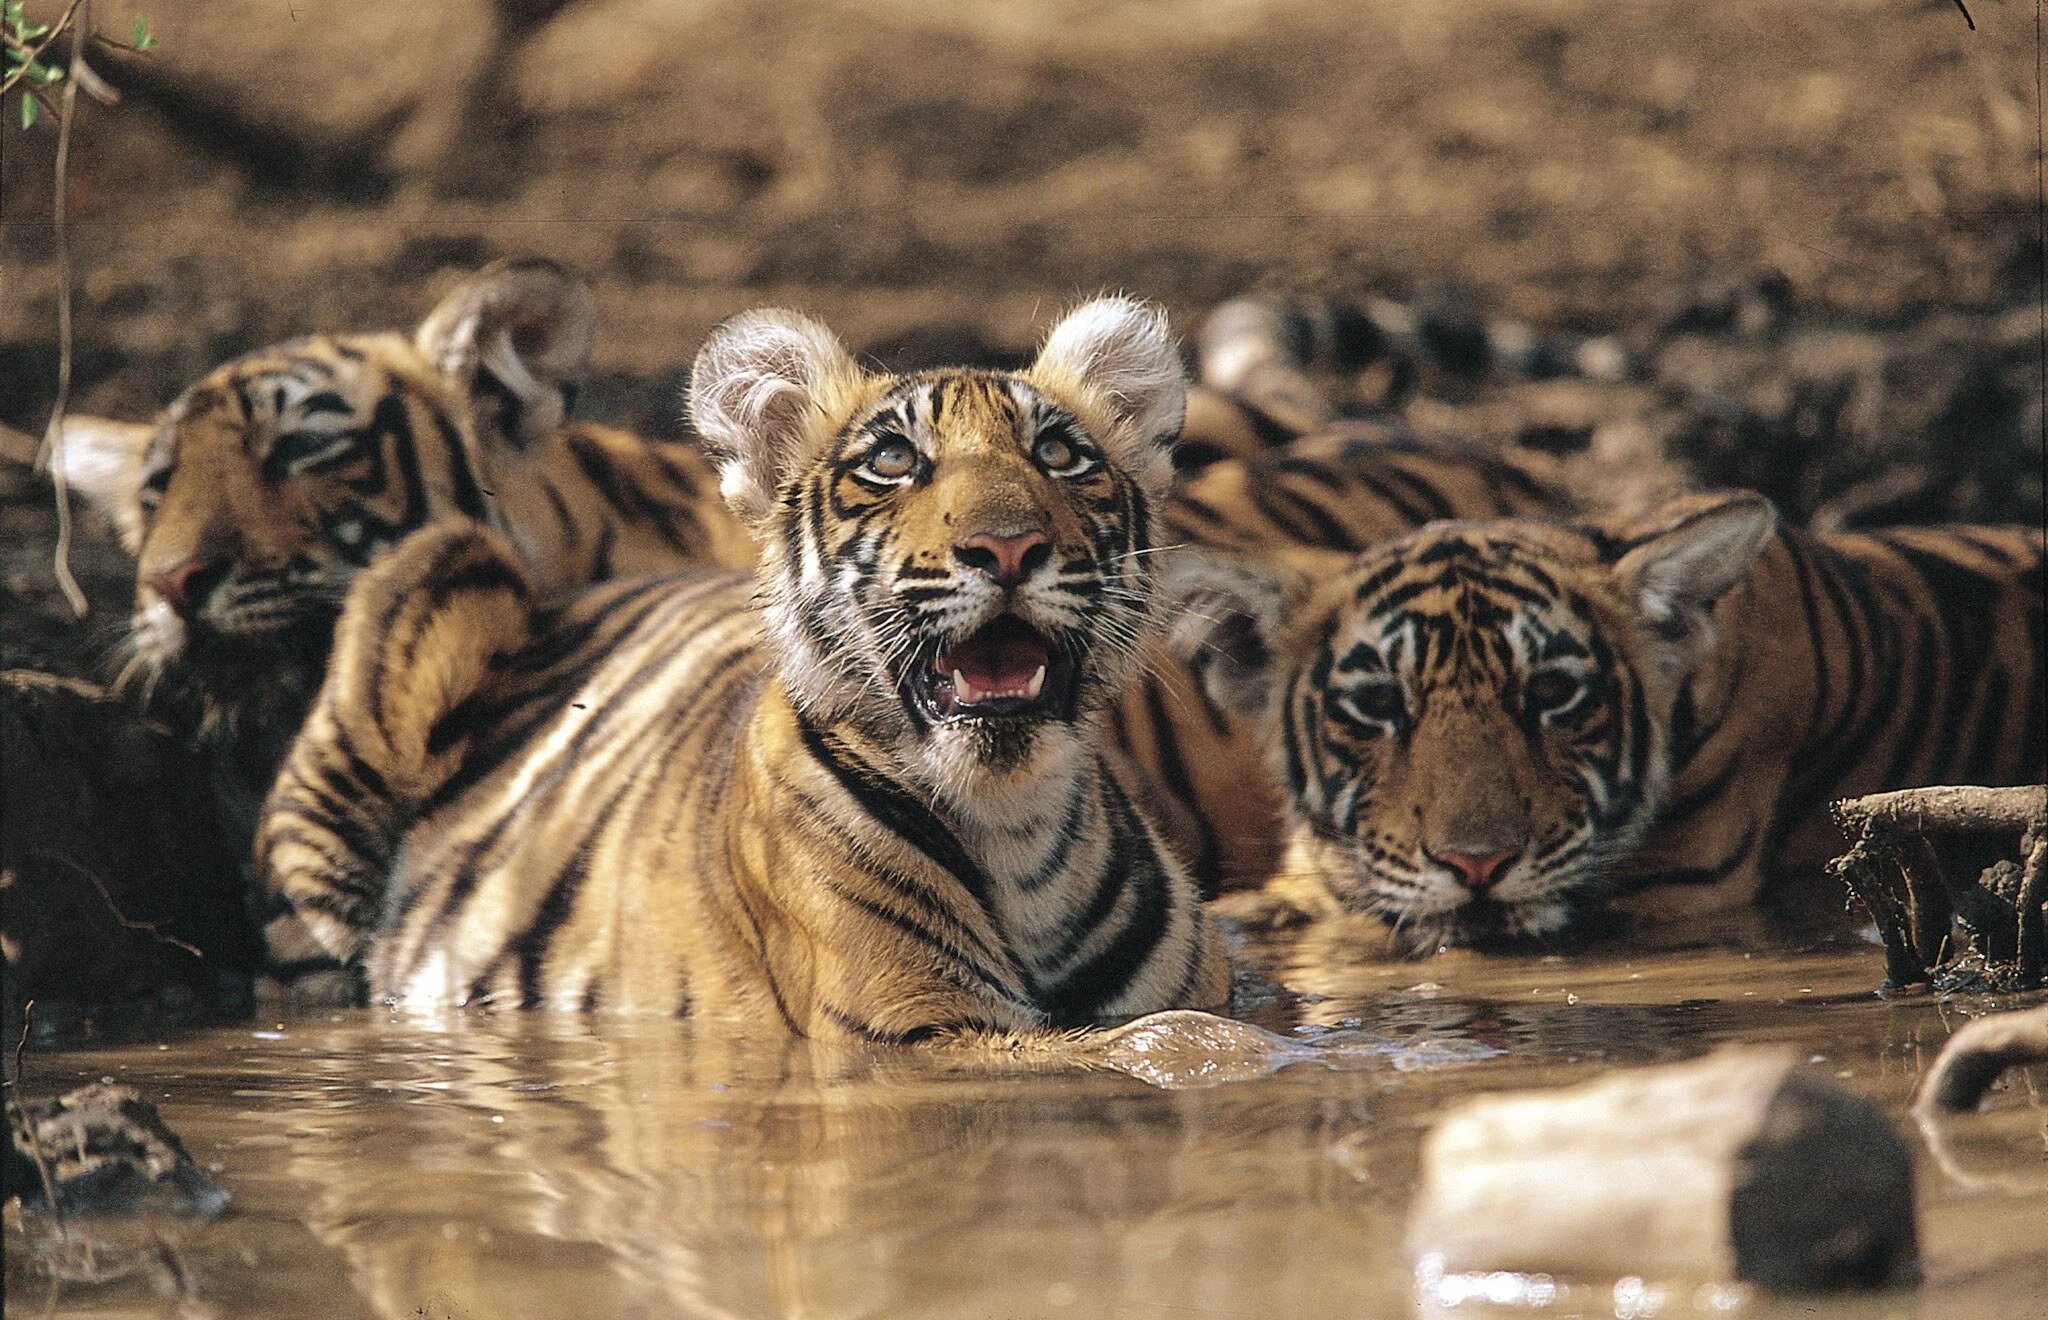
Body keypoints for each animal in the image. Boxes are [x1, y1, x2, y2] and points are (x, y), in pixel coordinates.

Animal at [255, 296, 1230, 1039]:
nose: (1009, 546)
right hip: (441, 567)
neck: (1015, 826)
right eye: (893, 460)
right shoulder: (909, 1023)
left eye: (1058, 455)